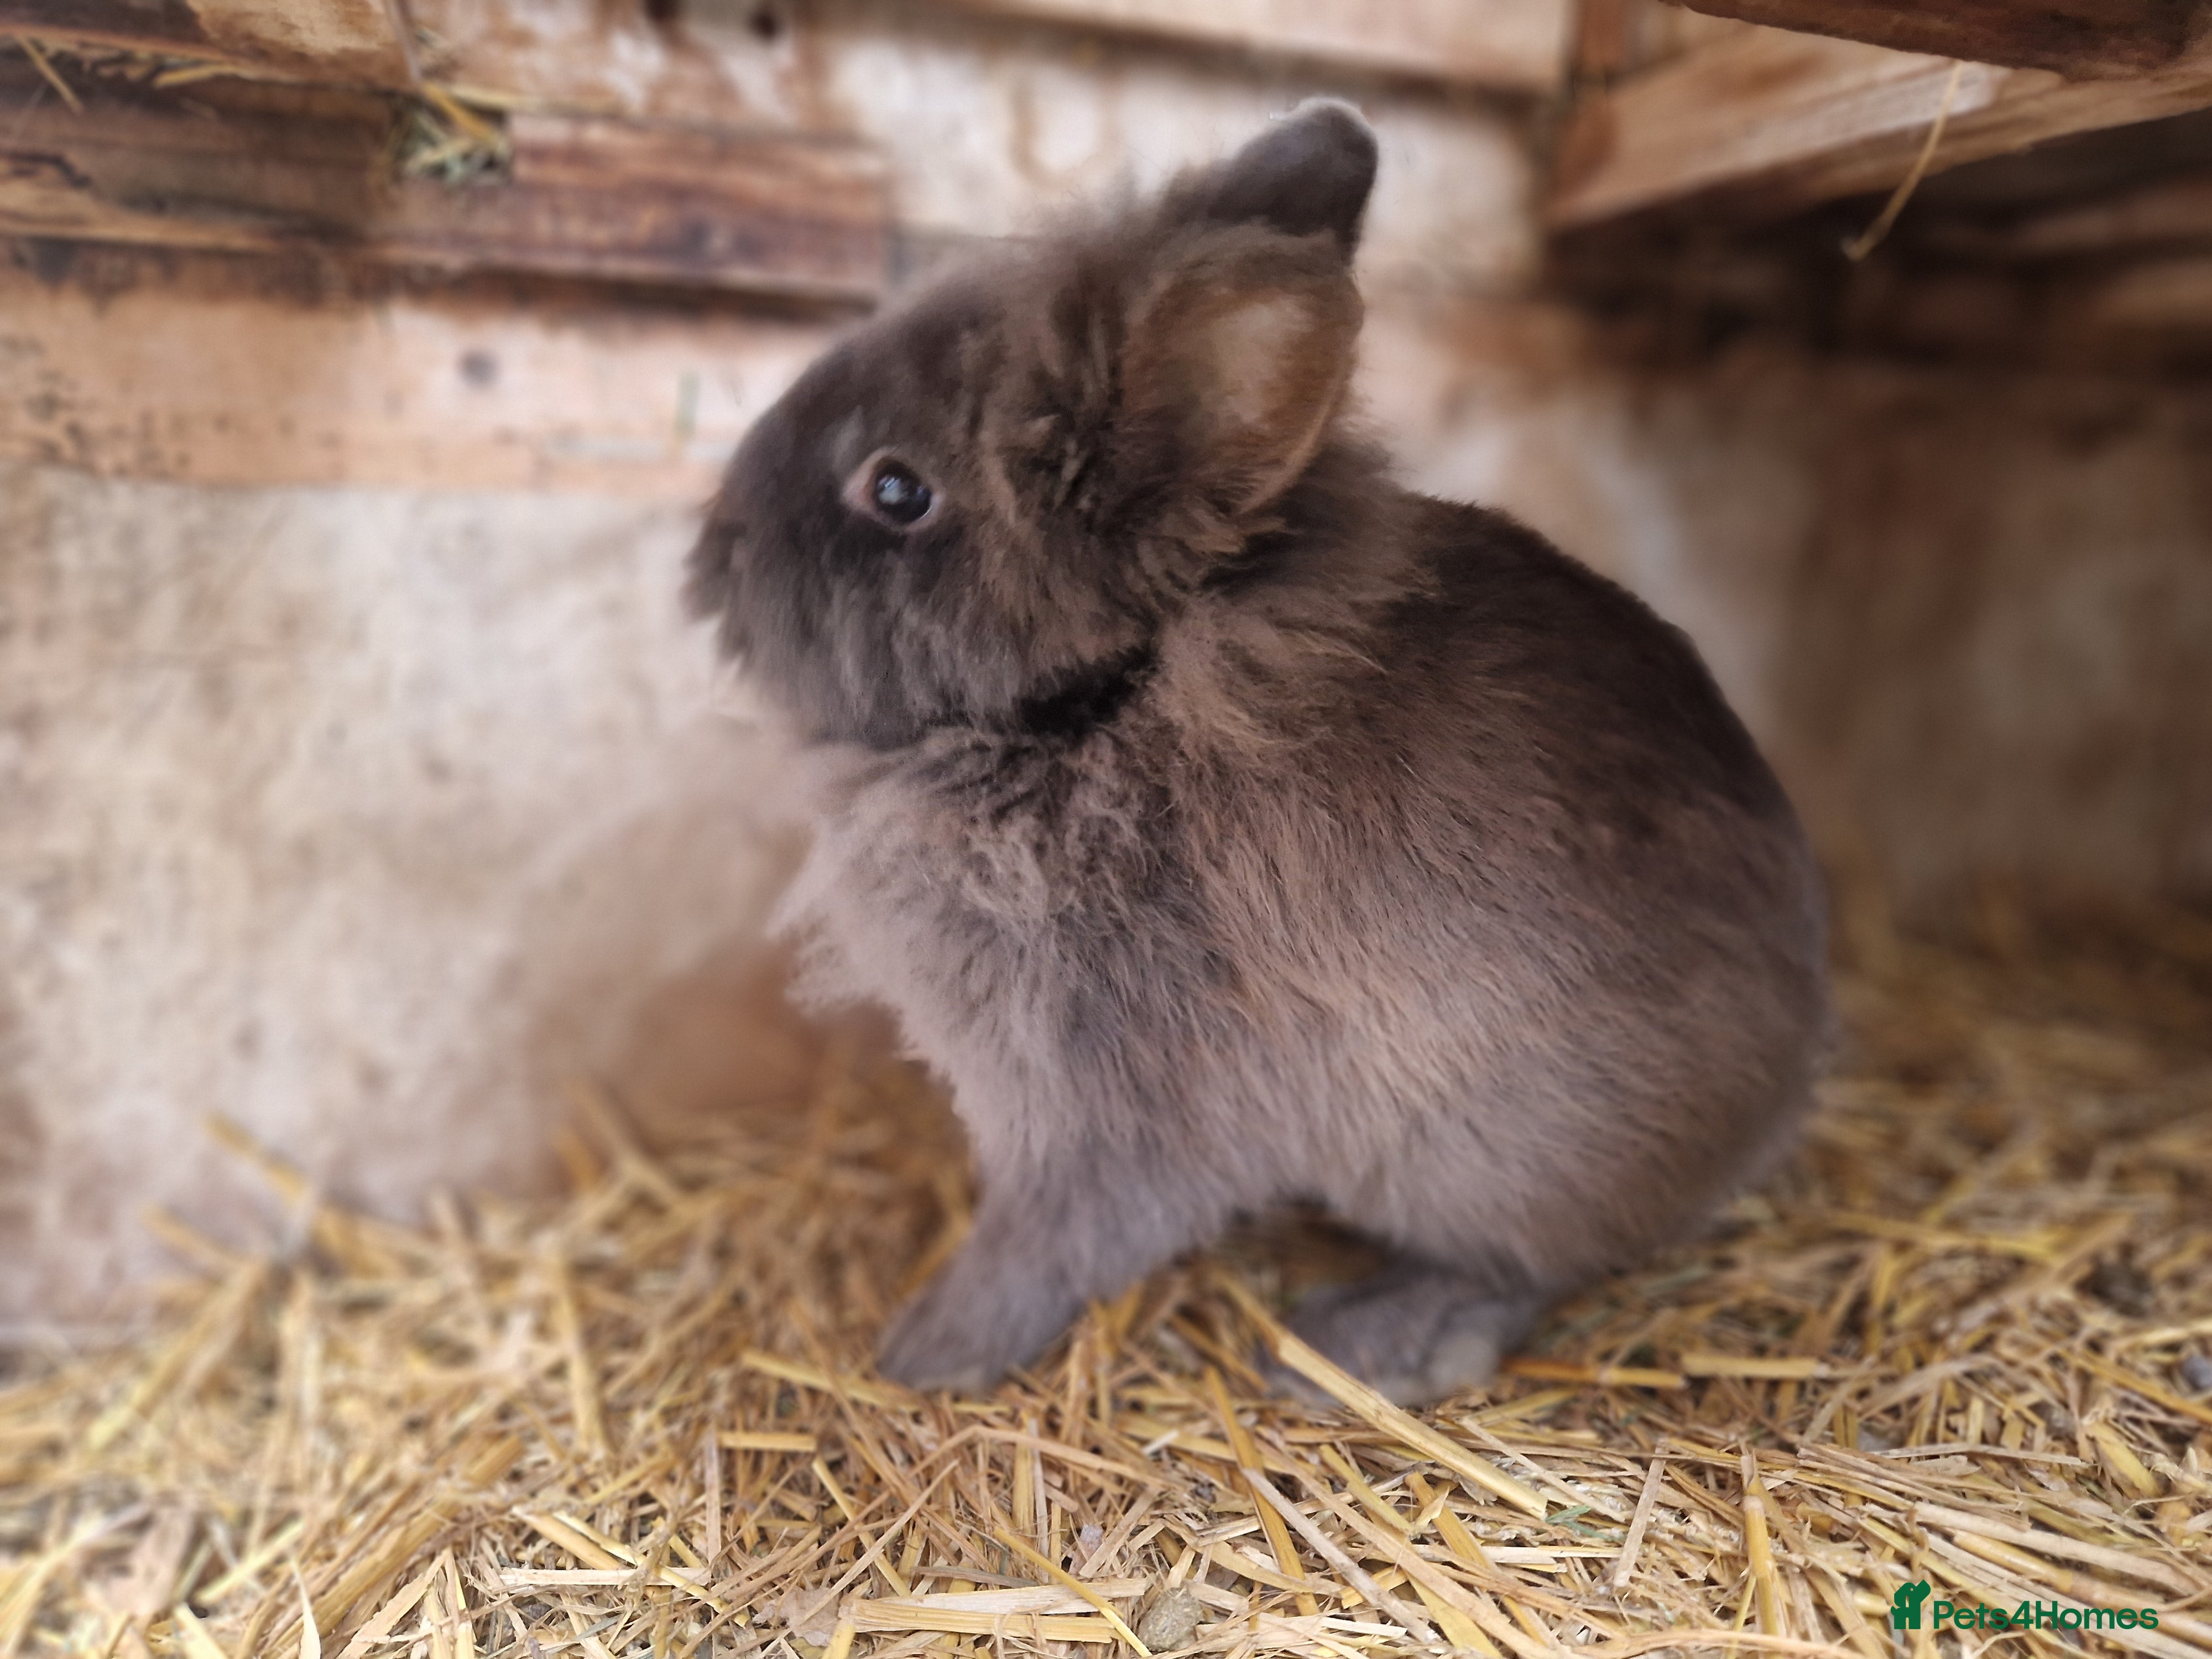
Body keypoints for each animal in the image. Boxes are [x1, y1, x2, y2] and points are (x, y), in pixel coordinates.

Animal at [686, 100, 1831, 1403]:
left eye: (894, 491)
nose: (713, 542)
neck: (1098, 706)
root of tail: (1780, 1092)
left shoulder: (1106, 1113)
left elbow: (1046, 1239)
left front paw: (927, 1350)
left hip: (1502, 1157)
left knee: (1526, 1266)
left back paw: (1362, 1344)